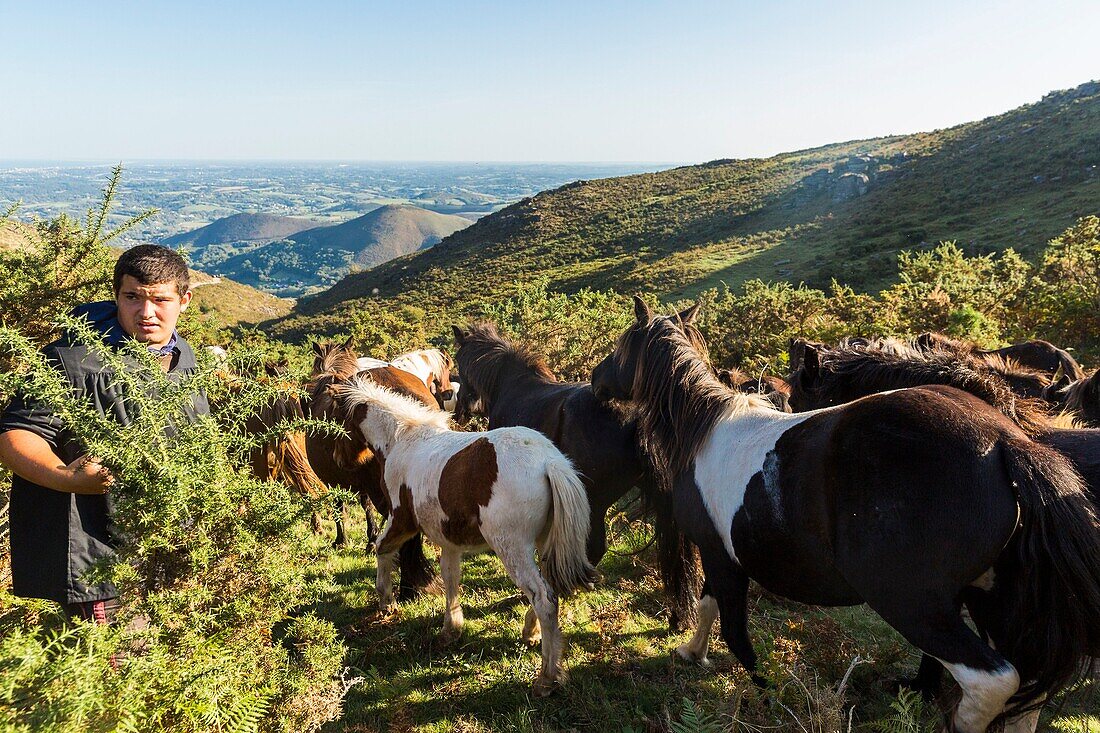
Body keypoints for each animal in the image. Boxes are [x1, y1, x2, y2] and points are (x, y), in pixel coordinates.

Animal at [332, 376, 598, 695]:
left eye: (337, 421)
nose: (337, 460)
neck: (402, 440)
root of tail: (549, 463)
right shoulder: (449, 539)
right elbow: (450, 577)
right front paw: (451, 629)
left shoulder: (401, 521)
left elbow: (382, 549)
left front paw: (386, 603)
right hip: (545, 544)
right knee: (551, 589)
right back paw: (530, 633)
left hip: (513, 548)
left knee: (543, 597)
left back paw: (546, 677)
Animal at [598, 294, 1100, 730]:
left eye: (621, 346)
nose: (597, 381)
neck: (707, 429)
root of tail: (1004, 443)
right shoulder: (719, 553)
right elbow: (706, 606)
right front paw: (691, 652)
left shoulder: (721, 556)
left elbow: (736, 635)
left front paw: (769, 696)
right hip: (991, 599)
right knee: (1023, 697)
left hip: (910, 602)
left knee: (992, 681)